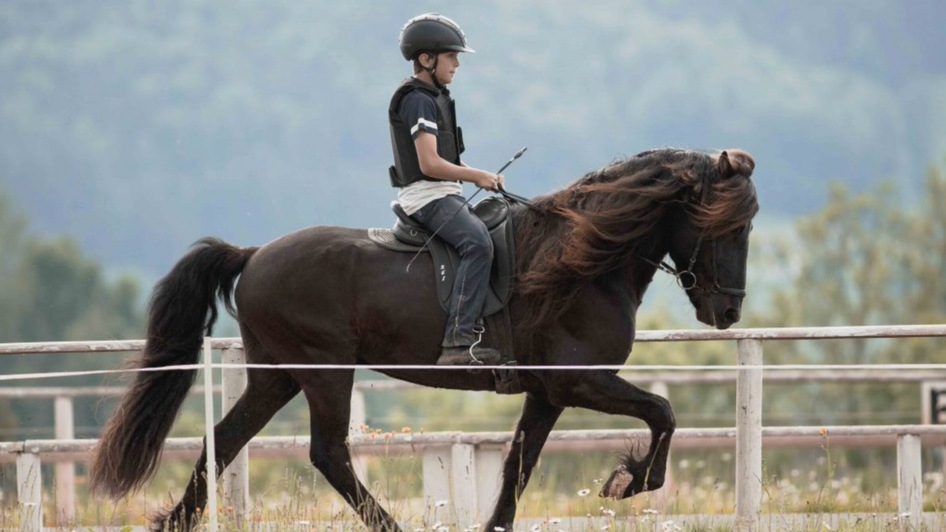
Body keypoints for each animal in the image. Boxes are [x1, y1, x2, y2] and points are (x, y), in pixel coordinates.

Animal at [92, 147, 756, 532]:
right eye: (732, 225)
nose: (727, 311)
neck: (581, 261)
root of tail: (253, 255)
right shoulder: (581, 382)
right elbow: (664, 411)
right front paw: (628, 481)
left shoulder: (548, 393)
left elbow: (517, 468)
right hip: (324, 371)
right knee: (328, 453)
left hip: (278, 374)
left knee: (223, 441)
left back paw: (173, 522)